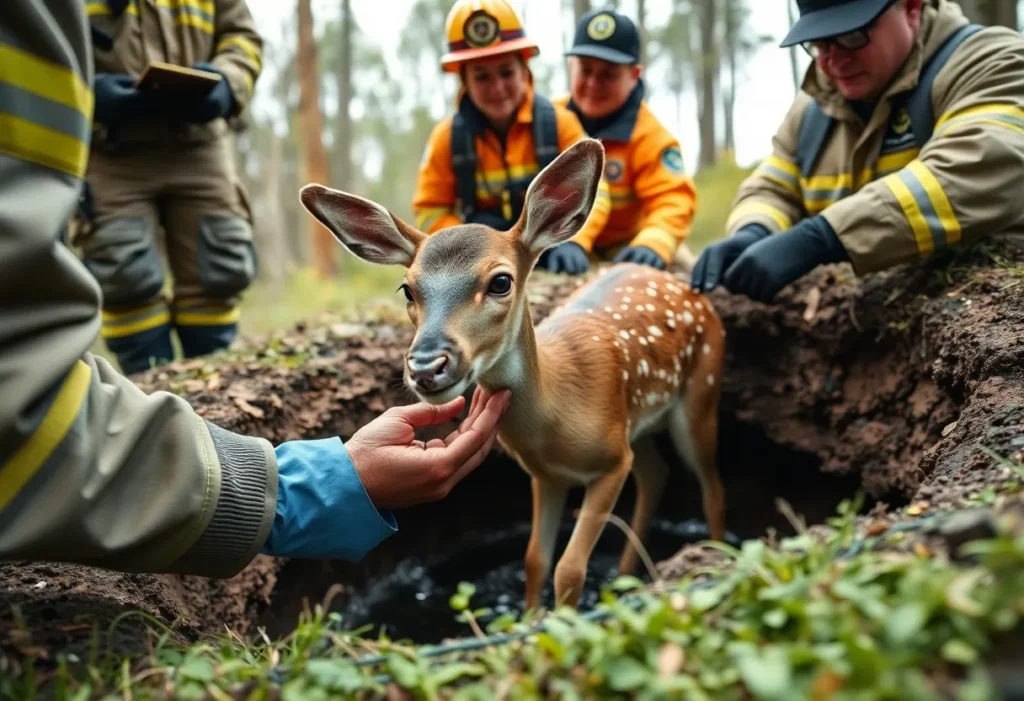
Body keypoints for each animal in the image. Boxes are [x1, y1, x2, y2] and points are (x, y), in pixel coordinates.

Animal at [299, 138, 727, 612]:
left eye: (501, 281)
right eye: (407, 289)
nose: (427, 365)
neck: (558, 416)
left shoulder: (612, 462)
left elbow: (569, 569)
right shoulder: (546, 475)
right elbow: (535, 559)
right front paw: (532, 618)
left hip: (701, 390)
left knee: (711, 488)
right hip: (640, 425)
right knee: (656, 474)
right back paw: (625, 577)